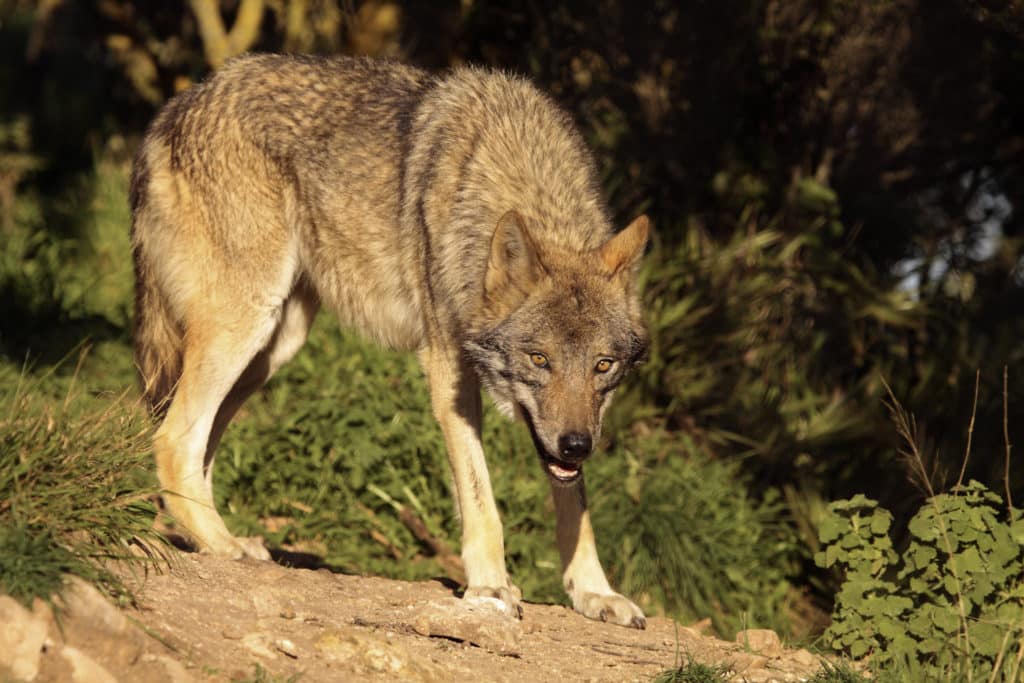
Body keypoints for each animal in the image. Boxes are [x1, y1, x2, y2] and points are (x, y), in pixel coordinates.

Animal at [132, 54, 651, 630]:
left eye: (603, 366)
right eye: (539, 359)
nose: (577, 445)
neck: (518, 180)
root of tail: (180, 104)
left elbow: (575, 505)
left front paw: (594, 592)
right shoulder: (448, 369)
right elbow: (481, 498)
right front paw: (491, 586)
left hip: (273, 347)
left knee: (199, 444)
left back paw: (215, 537)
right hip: (245, 324)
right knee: (173, 437)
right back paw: (220, 544)